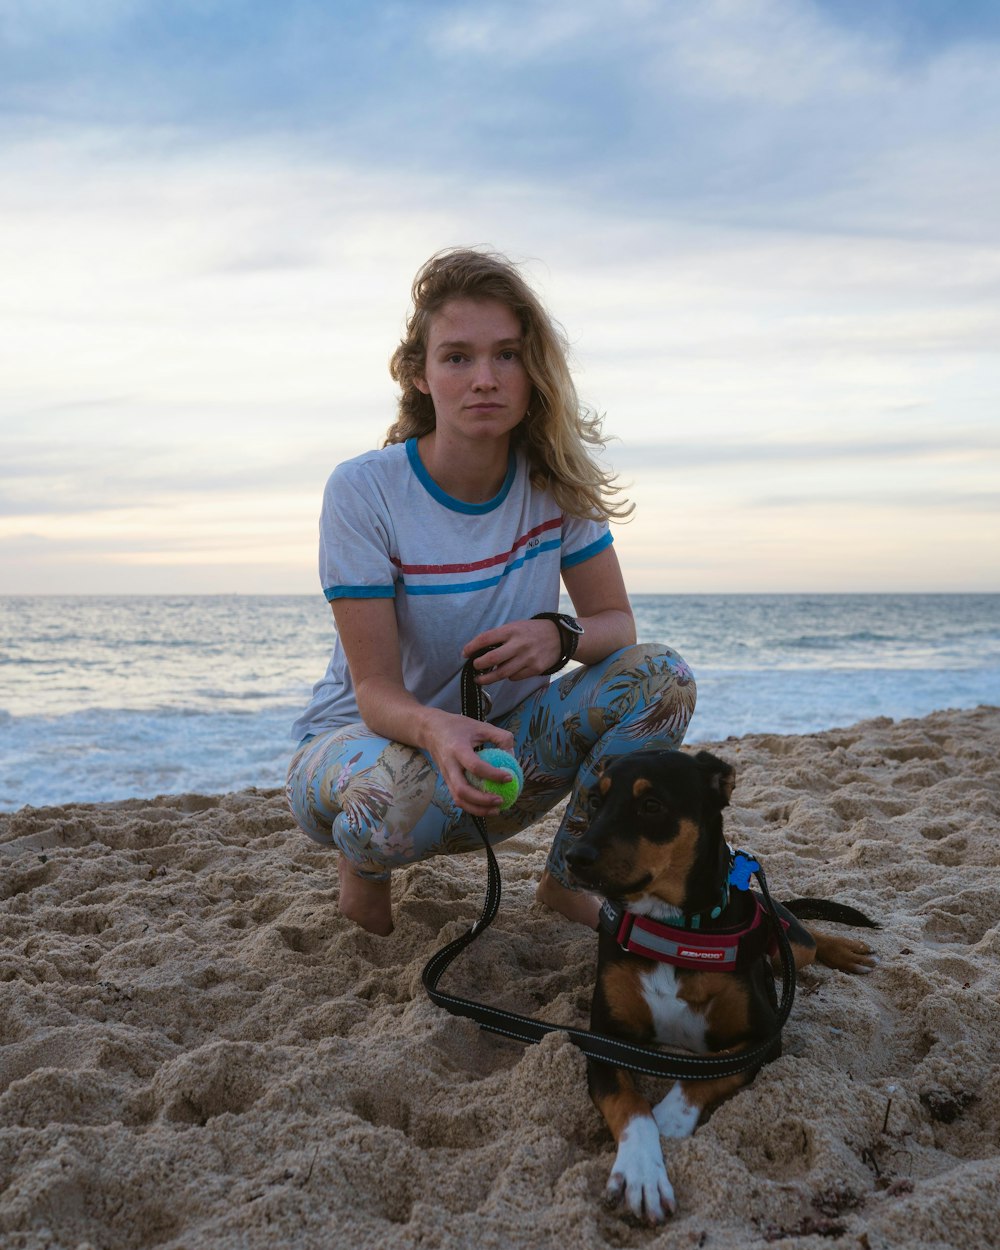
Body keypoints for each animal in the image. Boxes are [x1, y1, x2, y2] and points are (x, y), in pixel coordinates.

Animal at [567, 745, 880, 1225]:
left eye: (651, 805)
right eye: (595, 801)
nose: (574, 857)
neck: (673, 930)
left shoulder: (763, 1039)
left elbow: (701, 1077)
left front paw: (668, 1120)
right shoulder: (603, 1041)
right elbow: (631, 1105)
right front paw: (642, 1171)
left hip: (789, 945)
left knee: (805, 935)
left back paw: (843, 949)